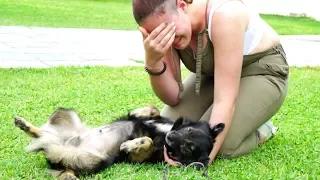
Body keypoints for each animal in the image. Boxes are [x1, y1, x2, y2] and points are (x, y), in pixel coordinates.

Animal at [14, 105, 225, 179]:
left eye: (188, 148)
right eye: (188, 130)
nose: (170, 137)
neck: (164, 131)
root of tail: (61, 142)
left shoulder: (141, 158)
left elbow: (147, 140)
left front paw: (129, 144)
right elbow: (153, 109)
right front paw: (144, 112)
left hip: (91, 160)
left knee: (61, 163)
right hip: (65, 112)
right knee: (42, 134)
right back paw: (25, 125)